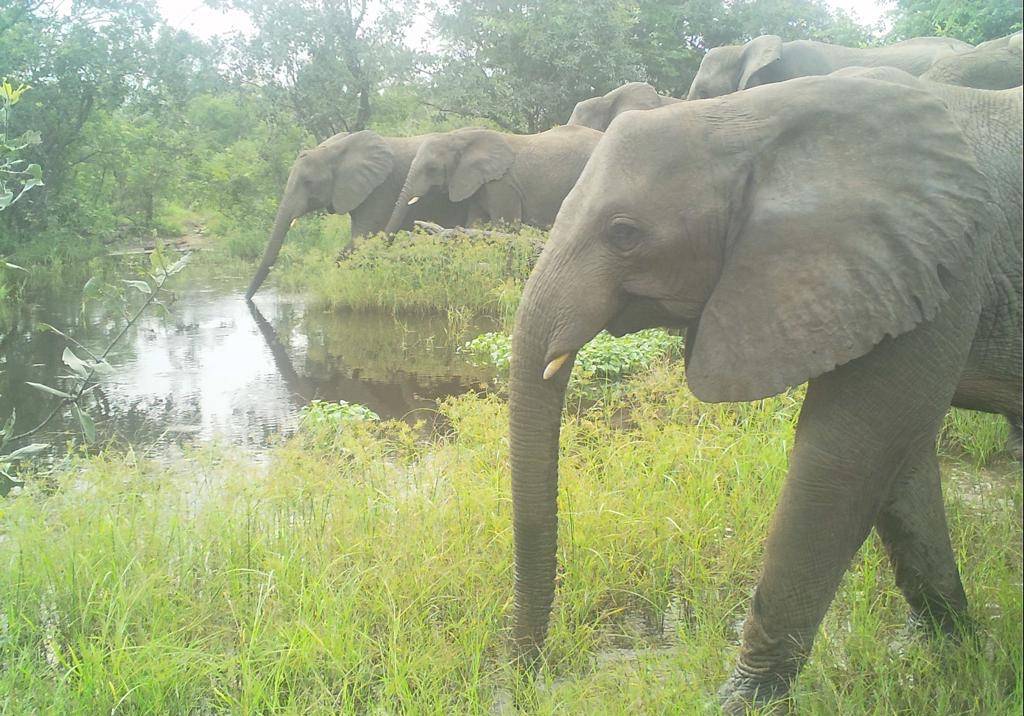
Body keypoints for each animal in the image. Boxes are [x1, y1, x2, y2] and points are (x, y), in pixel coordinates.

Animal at [383, 125, 602, 234]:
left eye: (432, 168)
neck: (461, 138)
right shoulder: (479, 183)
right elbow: (475, 224)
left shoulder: (503, 184)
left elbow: (505, 226)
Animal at [507, 75, 1021, 712]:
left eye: (623, 233)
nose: (527, 679)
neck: (750, 121)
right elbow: (901, 464)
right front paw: (948, 648)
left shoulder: (948, 264)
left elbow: (849, 456)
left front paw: (738, 701)